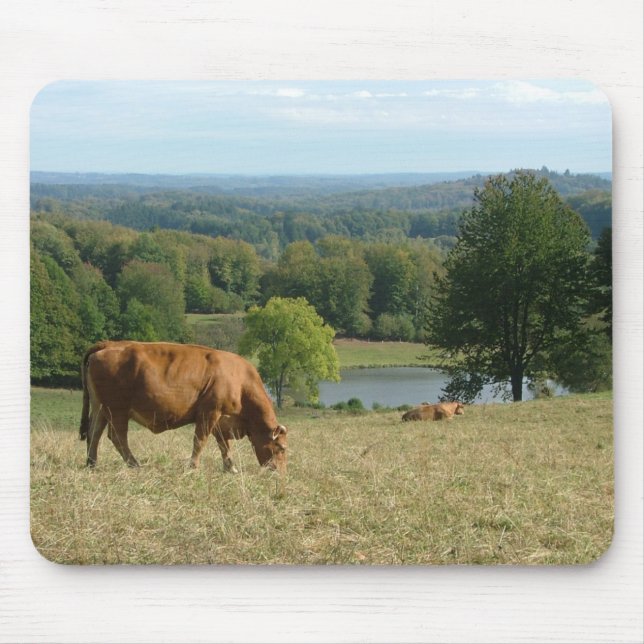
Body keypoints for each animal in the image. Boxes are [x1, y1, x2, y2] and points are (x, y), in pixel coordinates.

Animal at [79, 341, 287, 473]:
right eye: (281, 447)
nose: (279, 471)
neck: (240, 381)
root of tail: (109, 344)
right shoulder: (209, 413)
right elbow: (200, 441)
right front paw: (193, 466)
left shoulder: (221, 420)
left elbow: (224, 446)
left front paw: (231, 468)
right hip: (117, 410)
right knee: (117, 436)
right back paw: (134, 464)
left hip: (100, 408)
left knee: (94, 433)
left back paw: (92, 463)